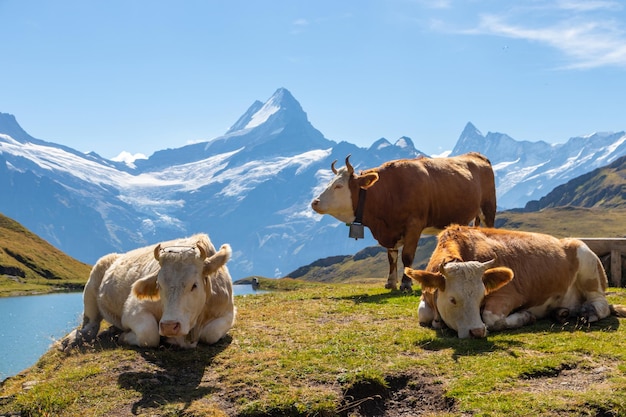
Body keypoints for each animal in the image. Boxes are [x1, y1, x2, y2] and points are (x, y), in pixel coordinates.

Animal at [59, 234, 235, 348]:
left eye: (194, 285)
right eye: (159, 284)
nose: (169, 326)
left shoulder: (228, 313)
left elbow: (210, 334)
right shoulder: (133, 310)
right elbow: (149, 334)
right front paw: (124, 337)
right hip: (91, 288)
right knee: (90, 324)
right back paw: (72, 340)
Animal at [310, 152, 494, 290]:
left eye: (339, 186)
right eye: (329, 183)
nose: (315, 202)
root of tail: (476, 155)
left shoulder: (414, 225)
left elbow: (407, 256)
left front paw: (406, 284)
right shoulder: (390, 232)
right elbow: (391, 257)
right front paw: (391, 282)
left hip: (488, 210)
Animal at [402, 224, 620, 338]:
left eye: (482, 297)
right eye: (453, 299)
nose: (477, 331)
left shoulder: (510, 294)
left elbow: (490, 318)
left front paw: (525, 317)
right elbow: (423, 314)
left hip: (588, 263)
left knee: (602, 304)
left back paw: (588, 313)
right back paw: (561, 312)